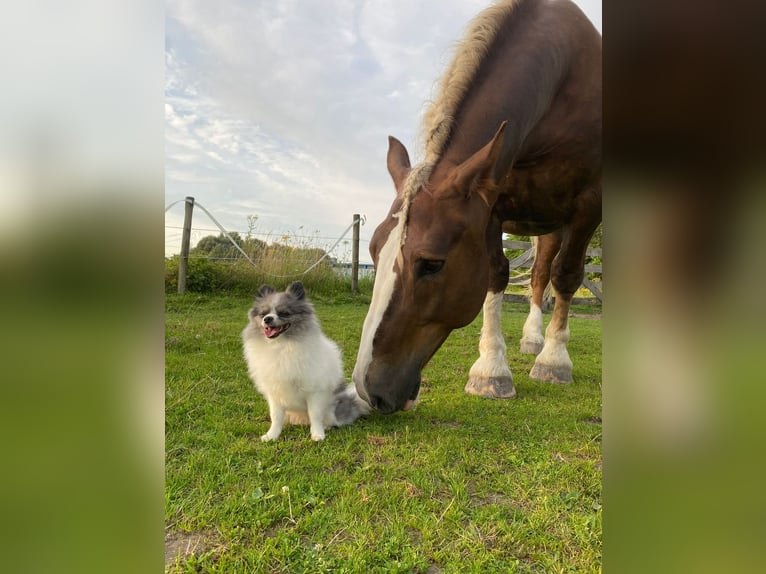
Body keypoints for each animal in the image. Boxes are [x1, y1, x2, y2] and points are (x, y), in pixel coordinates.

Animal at [242, 282, 370, 440]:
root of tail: (353, 402)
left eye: (284, 313)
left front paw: (317, 434)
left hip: (332, 409)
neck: (281, 345)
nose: (267, 319)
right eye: (263, 314)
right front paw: (272, 435)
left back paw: (327, 426)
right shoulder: (275, 393)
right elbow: (276, 417)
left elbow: (315, 415)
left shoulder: (314, 392)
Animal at [356, 0, 604, 414]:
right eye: (374, 252)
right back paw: (531, 340)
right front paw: (491, 370)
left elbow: (568, 276)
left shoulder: (590, 205)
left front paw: (554, 363)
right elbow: (496, 274)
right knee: (538, 276)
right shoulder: (492, 205)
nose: (367, 389)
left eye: (432, 264)